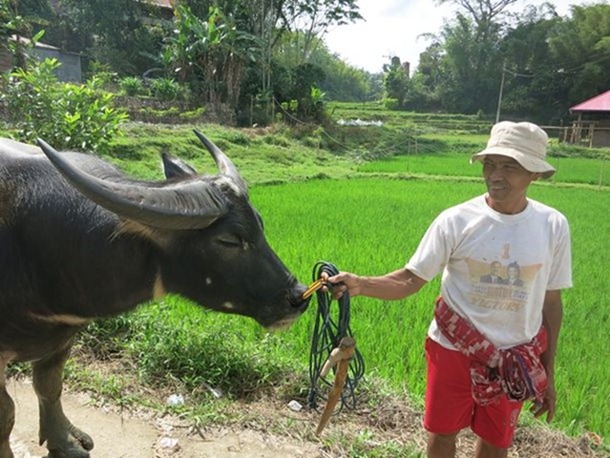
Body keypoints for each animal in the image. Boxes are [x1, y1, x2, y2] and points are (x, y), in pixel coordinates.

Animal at [0, 131, 306, 456]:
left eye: (260, 223)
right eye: (229, 240)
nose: (298, 297)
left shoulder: (64, 336)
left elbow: (50, 386)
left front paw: (65, 443)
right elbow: (7, 413)